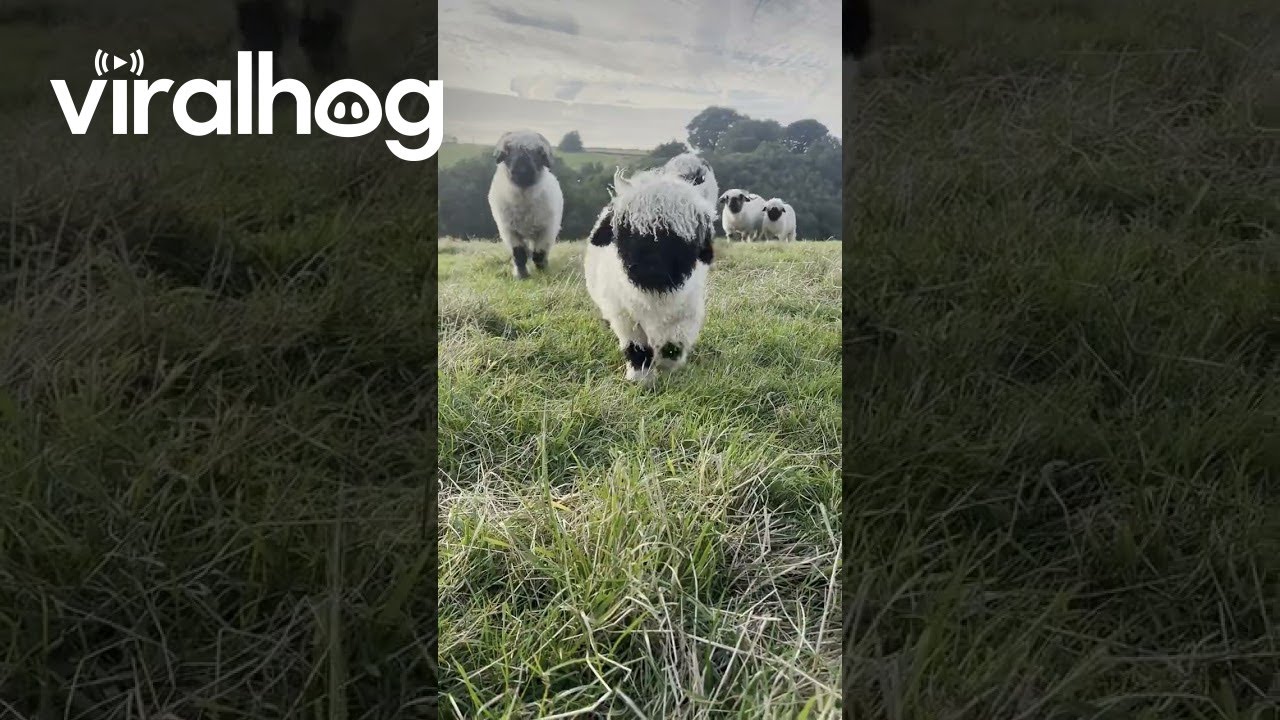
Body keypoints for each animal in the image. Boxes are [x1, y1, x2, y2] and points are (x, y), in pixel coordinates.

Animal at [488, 130, 565, 279]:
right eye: (508, 151)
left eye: (539, 153)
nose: (522, 171)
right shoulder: (509, 231)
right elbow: (519, 255)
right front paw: (522, 275)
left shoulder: (546, 230)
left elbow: (539, 254)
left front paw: (543, 272)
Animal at [584, 167, 716, 384]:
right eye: (626, 230)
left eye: (683, 239)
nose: (650, 269)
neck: (654, 293)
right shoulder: (624, 315)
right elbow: (637, 347)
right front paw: (641, 379)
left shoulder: (688, 312)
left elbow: (673, 345)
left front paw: (665, 364)